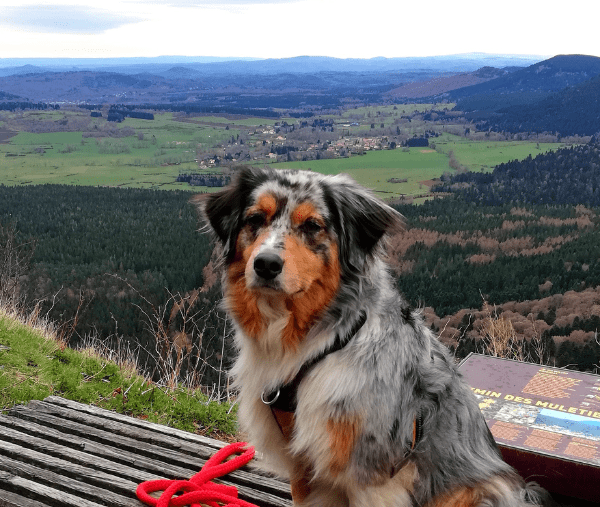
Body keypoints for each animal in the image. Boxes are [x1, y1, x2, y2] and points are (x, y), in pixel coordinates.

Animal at [198, 169, 552, 506]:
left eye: (312, 225)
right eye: (255, 219)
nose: (266, 264)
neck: (315, 344)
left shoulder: (374, 473)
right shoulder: (303, 464)